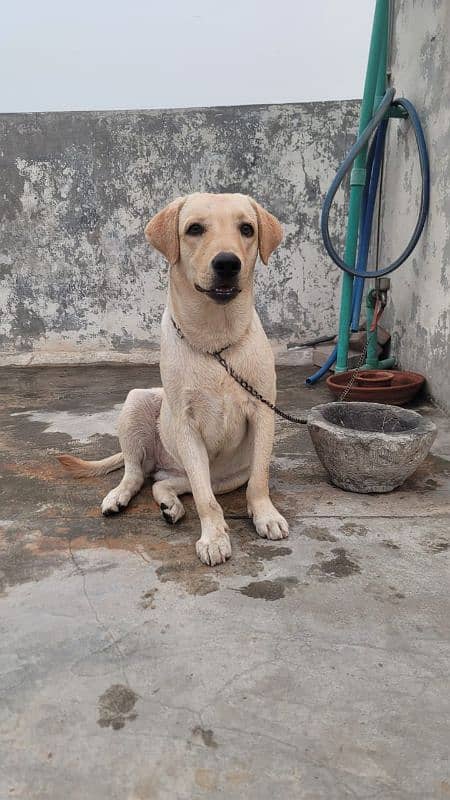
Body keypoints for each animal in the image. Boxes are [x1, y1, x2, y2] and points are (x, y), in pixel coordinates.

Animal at [59, 194, 288, 564]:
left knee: (163, 482)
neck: (215, 342)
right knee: (138, 473)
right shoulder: (185, 424)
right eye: (194, 229)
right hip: (138, 403)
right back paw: (119, 497)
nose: (228, 263)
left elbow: (259, 479)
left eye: (247, 229)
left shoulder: (263, 411)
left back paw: (170, 504)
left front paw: (265, 515)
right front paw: (213, 538)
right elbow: (206, 501)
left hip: (218, 476)